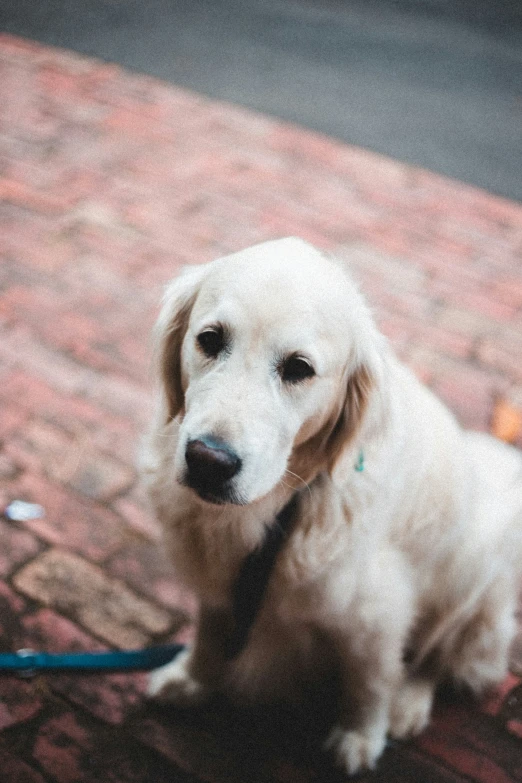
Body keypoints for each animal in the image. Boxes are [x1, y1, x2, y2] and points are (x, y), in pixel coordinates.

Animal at [141, 239, 520, 776]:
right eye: (209, 340)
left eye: (298, 368)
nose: (208, 462)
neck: (284, 504)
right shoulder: (219, 583)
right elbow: (211, 632)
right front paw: (194, 679)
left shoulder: (376, 613)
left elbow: (370, 681)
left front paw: (361, 738)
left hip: (473, 567)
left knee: (432, 660)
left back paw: (407, 704)